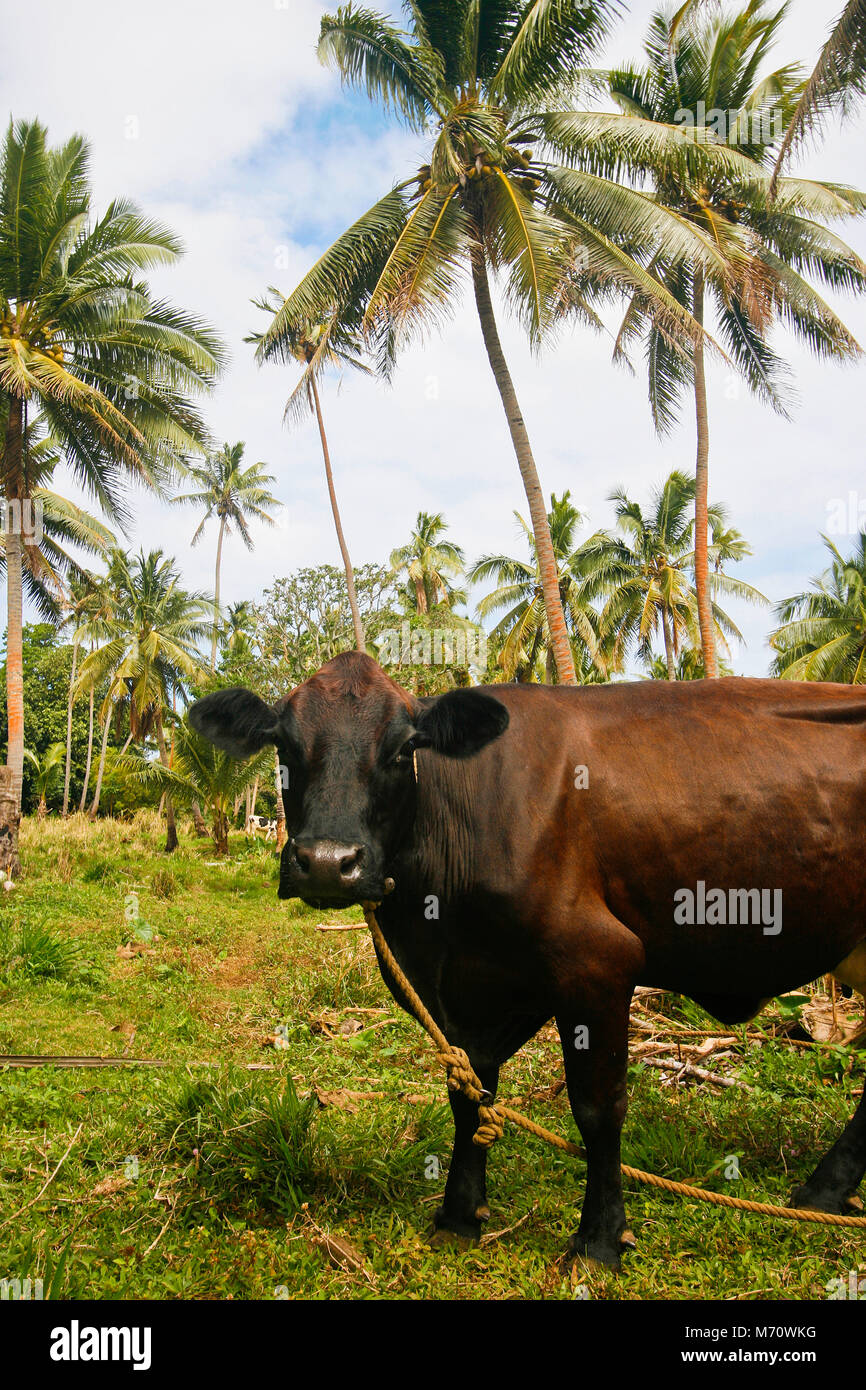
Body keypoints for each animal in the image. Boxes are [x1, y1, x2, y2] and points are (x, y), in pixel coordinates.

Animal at [191, 656, 866, 1273]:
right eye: (282, 744)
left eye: (404, 748)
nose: (330, 864)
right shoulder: (464, 989)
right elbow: (469, 1093)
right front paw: (459, 1216)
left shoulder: (598, 962)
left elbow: (597, 1107)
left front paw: (599, 1241)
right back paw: (822, 1195)